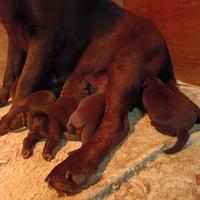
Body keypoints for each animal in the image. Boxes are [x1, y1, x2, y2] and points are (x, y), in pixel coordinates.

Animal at [0, 0, 179, 194]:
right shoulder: (14, 39)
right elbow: (9, 74)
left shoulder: (42, 38)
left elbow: (24, 82)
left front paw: (10, 117)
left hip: (124, 62)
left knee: (115, 124)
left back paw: (72, 166)